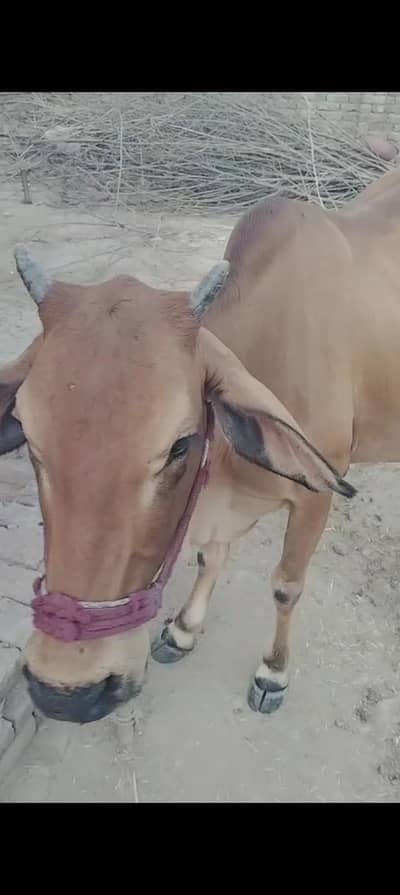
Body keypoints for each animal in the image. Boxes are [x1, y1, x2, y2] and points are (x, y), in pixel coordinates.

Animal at [2, 169, 399, 725]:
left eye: (180, 445)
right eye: (30, 440)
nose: (68, 692)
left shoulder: (316, 498)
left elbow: (286, 586)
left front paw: (273, 672)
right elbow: (211, 557)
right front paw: (184, 630)